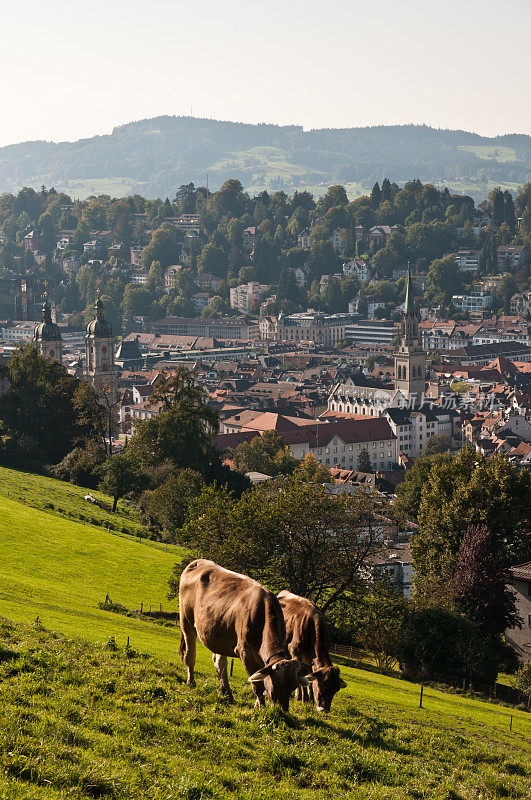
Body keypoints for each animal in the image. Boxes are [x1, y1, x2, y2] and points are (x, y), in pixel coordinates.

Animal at [180, 560, 310, 708]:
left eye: (292, 688)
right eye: (276, 687)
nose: (282, 710)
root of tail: (198, 562)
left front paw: (257, 705)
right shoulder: (245, 653)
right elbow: (257, 685)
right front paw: (261, 708)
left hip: (219, 635)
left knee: (220, 664)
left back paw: (227, 694)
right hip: (186, 621)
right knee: (190, 655)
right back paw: (191, 682)